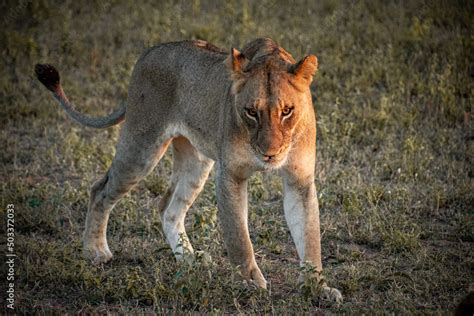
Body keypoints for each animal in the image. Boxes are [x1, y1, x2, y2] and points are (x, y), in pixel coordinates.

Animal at [35, 37, 342, 302]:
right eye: (251, 112)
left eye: (287, 111)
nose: (270, 153)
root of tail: (148, 53)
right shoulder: (230, 175)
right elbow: (239, 238)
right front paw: (250, 283)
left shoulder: (299, 180)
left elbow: (310, 237)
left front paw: (317, 288)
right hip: (142, 147)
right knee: (100, 190)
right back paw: (96, 251)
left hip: (196, 161)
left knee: (168, 208)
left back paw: (190, 259)